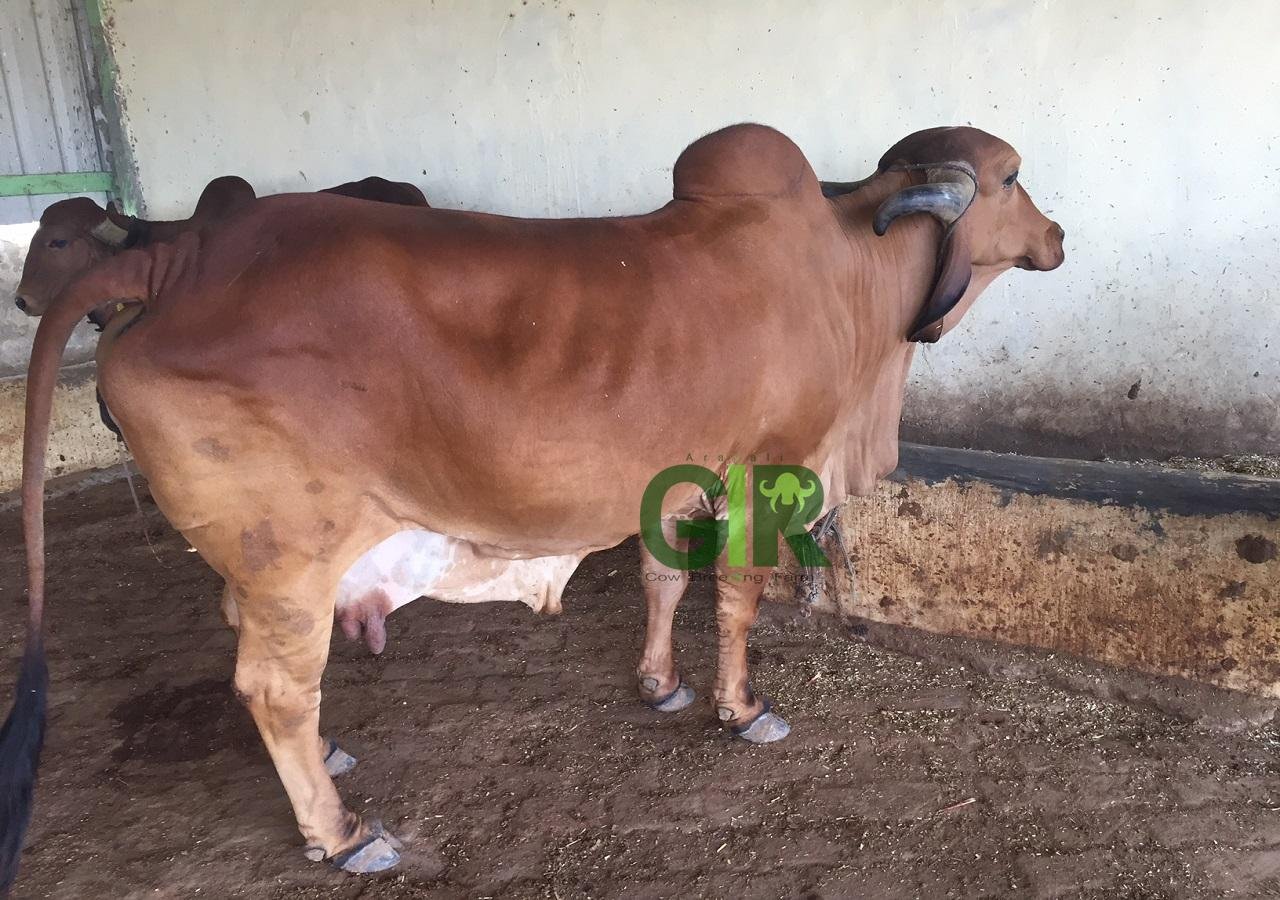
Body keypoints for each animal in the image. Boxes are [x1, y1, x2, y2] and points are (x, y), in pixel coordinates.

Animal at [0, 122, 1063, 886]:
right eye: (1013, 175)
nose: (1058, 235)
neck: (843, 270)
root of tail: (174, 259)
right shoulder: (766, 470)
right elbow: (736, 600)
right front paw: (741, 707)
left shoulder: (670, 481)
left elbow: (662, 583)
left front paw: (660, 683)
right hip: (292, 556)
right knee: (274, 688)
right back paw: (343, 835)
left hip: (258, 561)